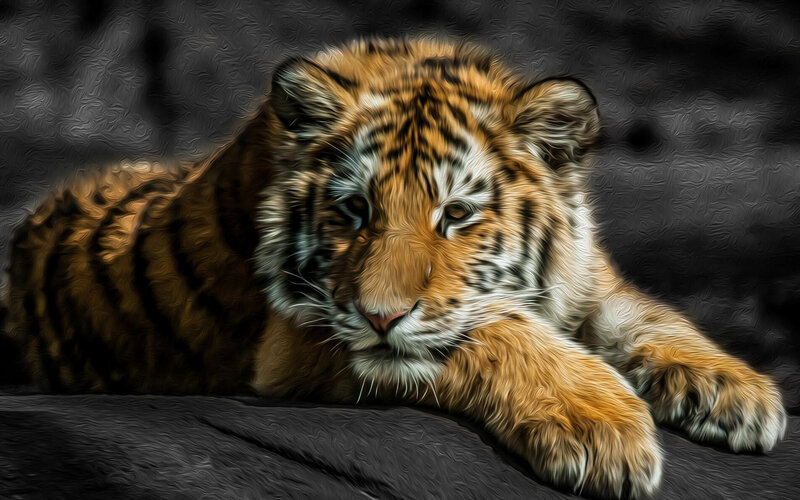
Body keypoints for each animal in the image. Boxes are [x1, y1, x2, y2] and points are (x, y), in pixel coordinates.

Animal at [3, 37, 787, 499]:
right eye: (354, 210)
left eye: (457, 215)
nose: (381, 315)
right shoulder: (301, 337)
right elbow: (492, 331)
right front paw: (601, 428)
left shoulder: (586, 280)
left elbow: (646, 314)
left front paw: (738, 394)